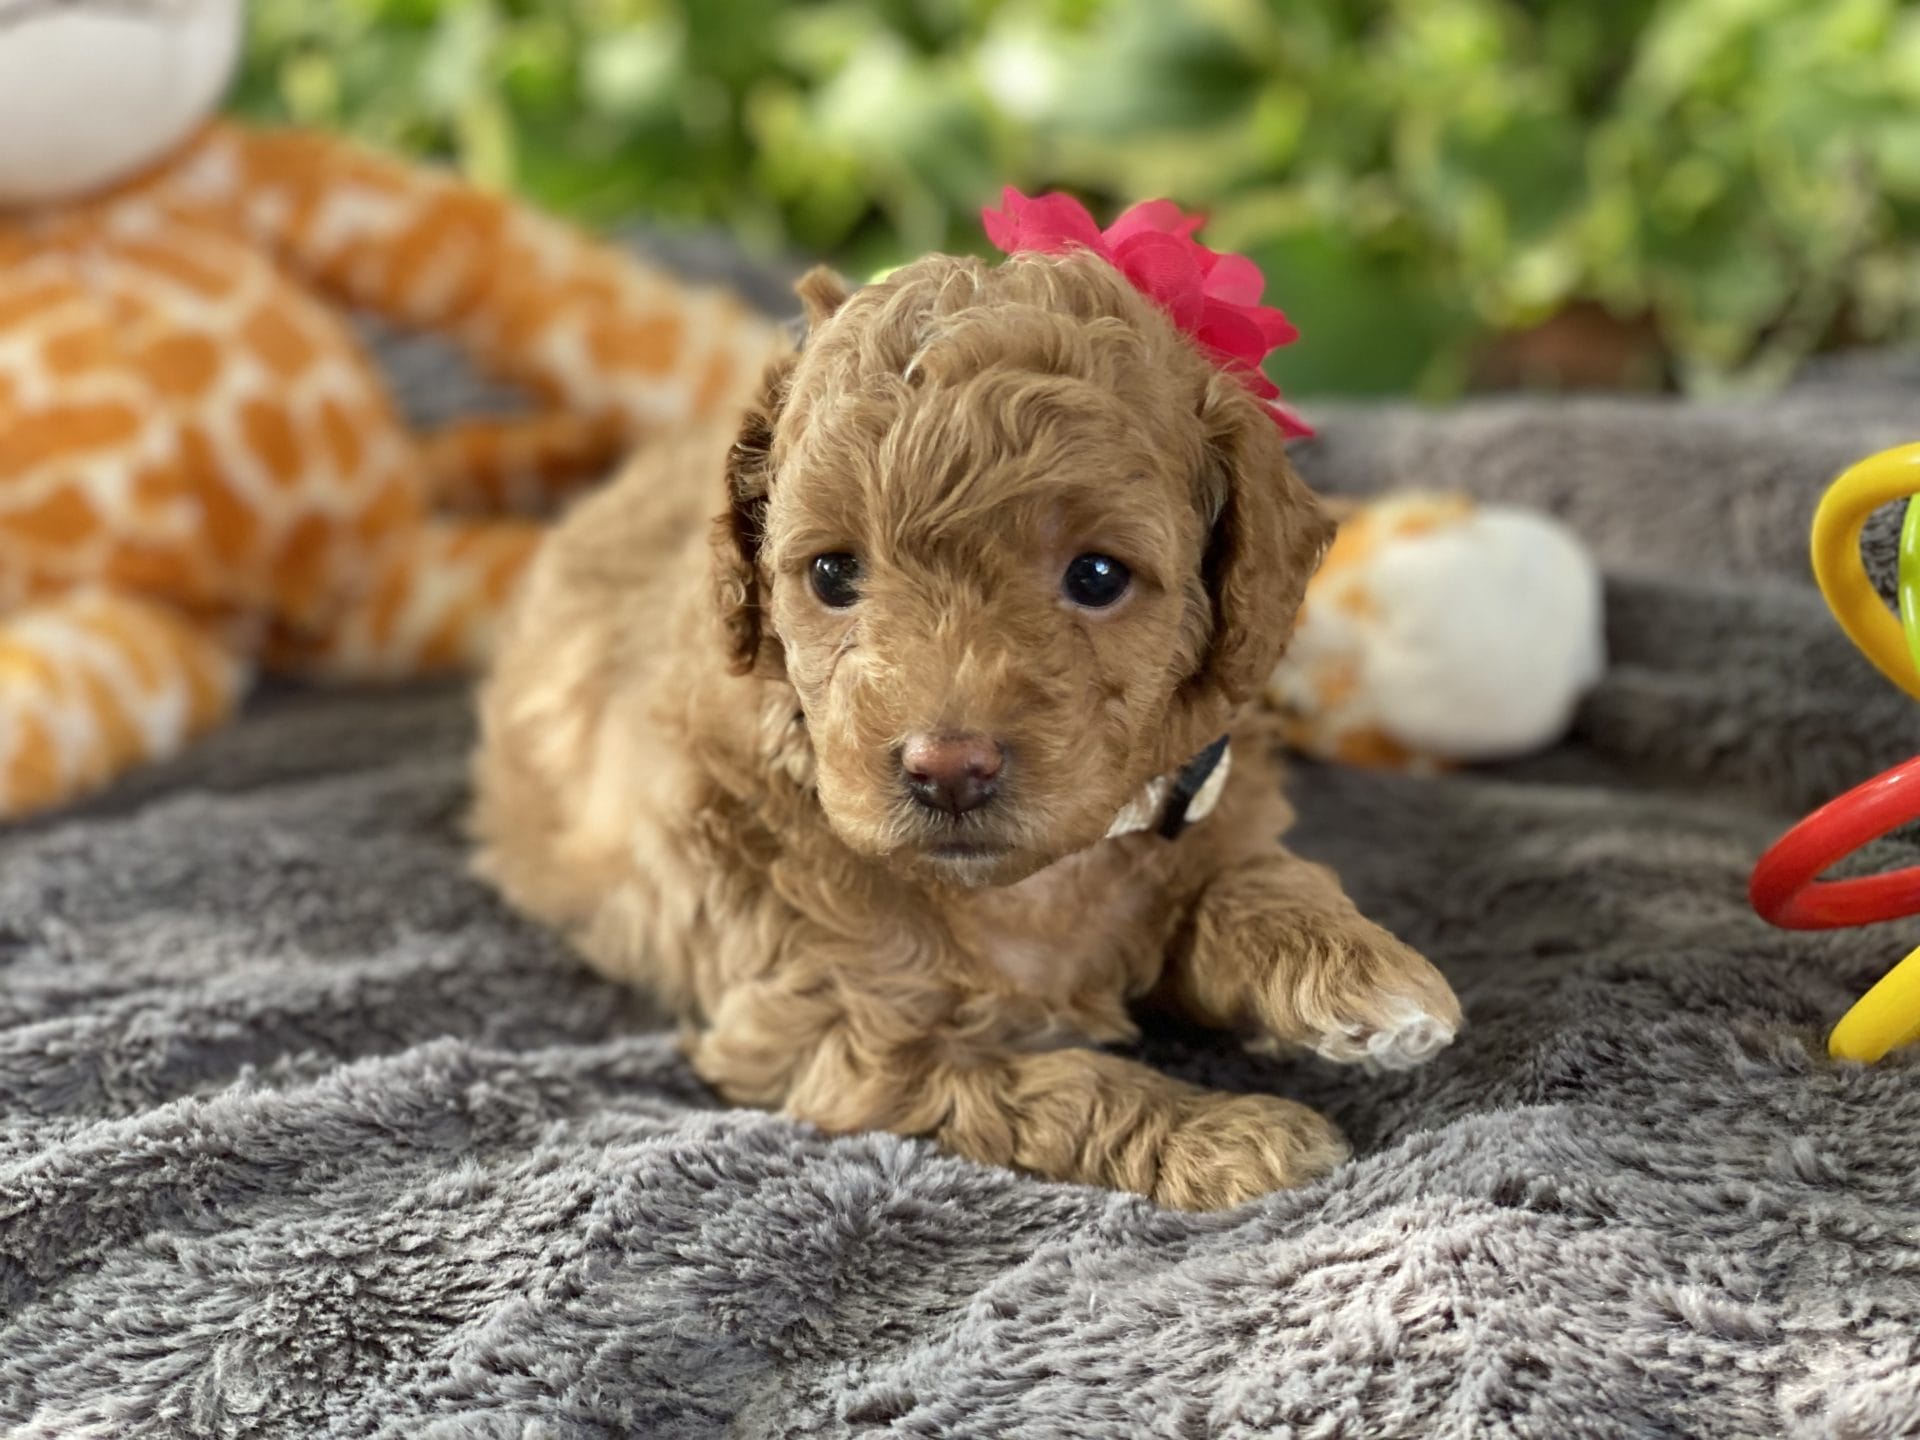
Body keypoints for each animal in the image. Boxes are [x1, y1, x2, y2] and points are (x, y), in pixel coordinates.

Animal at [472, 249, 1462, 1210]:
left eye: (1097, 576)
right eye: (832, 573)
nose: (947, 767)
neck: (1026, 886)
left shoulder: (1206, 809)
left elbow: (1243, 881)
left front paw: (1363, 971)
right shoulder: (844, 1044)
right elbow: (1063, 1087)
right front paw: (1230, 1136)